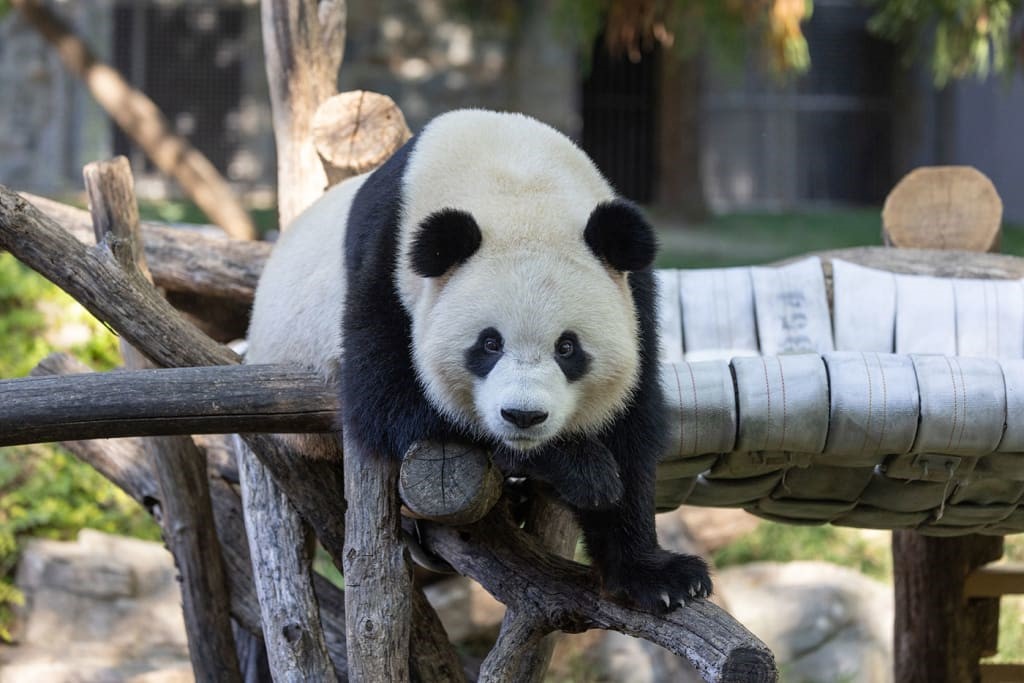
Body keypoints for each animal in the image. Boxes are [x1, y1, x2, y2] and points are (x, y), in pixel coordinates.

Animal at [247, 109, 712, 610]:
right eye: (489, 344)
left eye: (567, 348)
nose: (523, 416)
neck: (516, 181)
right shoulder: (384, 266)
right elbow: (388, 401)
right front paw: (584, 471)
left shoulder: (633, 294)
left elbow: (631, 424)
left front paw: (659, 575)